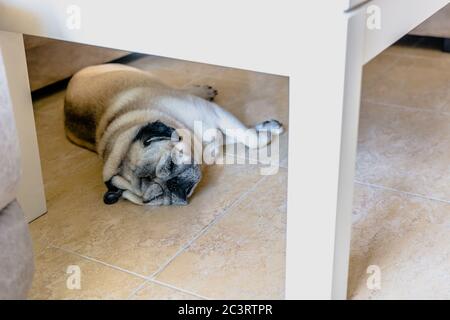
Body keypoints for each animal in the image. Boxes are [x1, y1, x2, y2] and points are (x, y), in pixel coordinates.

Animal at [64, 63, 282, 206]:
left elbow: (250, 139)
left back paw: (202, 90)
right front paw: (263, 127)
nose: (172, 185)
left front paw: (266, 133)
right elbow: (230, 137)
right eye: (155, 198)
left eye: (170, 164)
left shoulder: (211, 112)